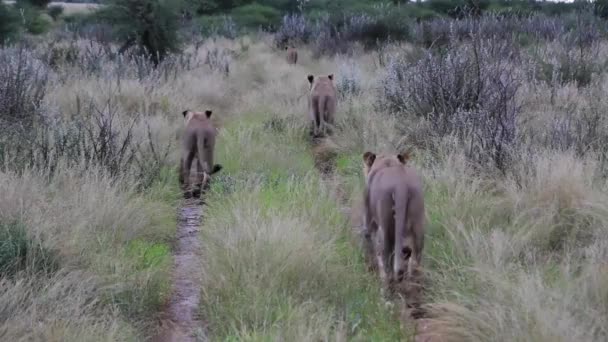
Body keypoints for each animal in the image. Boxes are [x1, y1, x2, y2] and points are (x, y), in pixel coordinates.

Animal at [364, 151, 426, 288]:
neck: (387, 162)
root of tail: (400, 185)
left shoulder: (370, 220)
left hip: (385, 226)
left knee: (387, 257)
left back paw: (386, 284)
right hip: (418, 224)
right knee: (415, 260)